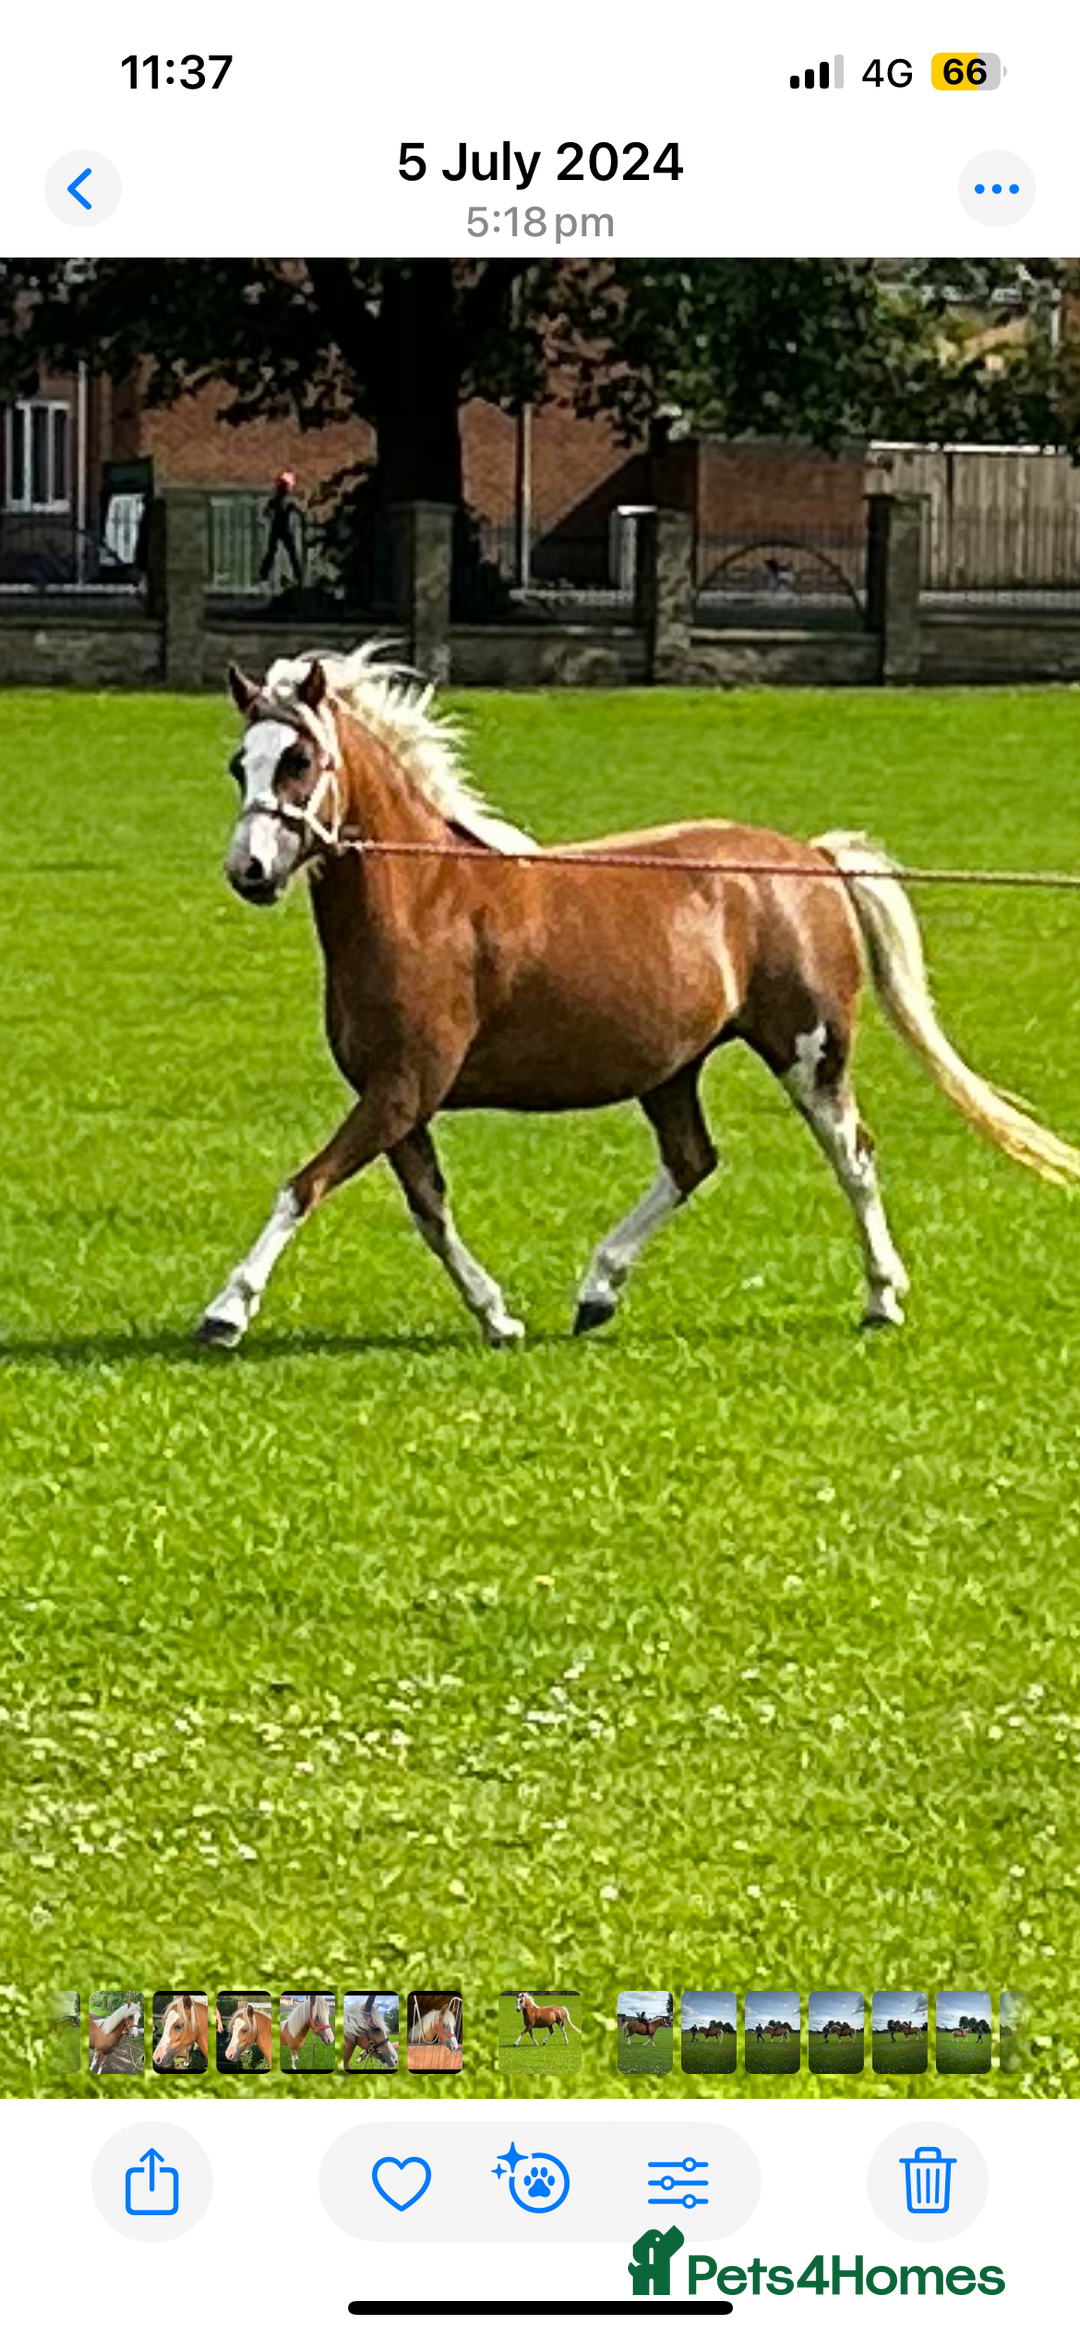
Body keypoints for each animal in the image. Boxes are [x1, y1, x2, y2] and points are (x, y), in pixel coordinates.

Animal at [196, 644, 1080, 1353]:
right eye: (240, 763)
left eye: (298, 759)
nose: (249, 870)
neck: (426, 896)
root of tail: (812, 857)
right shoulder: (399, 1098)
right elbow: (429, 1210)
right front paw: (498, 1316)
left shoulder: (402, 1088)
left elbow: (304, 1184)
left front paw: (226, 1312)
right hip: (672, 1069)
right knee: (693, 1160)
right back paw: (597, 1291)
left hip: (809, 1050)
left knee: (853, 1155)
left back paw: (881, 1299)